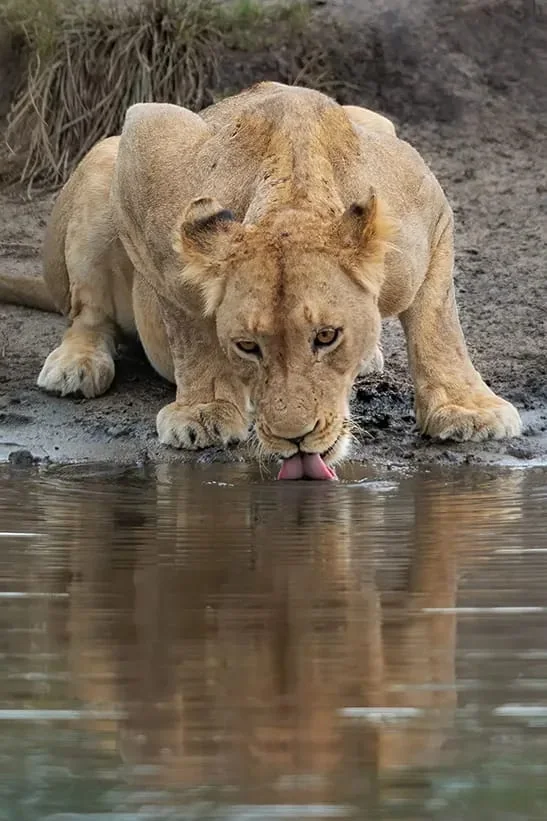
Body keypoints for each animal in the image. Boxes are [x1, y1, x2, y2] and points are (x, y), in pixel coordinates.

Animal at [0, 82, 521, 478]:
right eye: (248, 347)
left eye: (326, 337)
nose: (296, 440)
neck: (294, 193)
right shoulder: (144, 150)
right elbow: (188, 324)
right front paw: (205, 411)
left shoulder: (431, 215)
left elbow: (438, 323)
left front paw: (468, 411)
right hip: (103, 160)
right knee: (85, 310)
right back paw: (76, 365)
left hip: (373, 118)